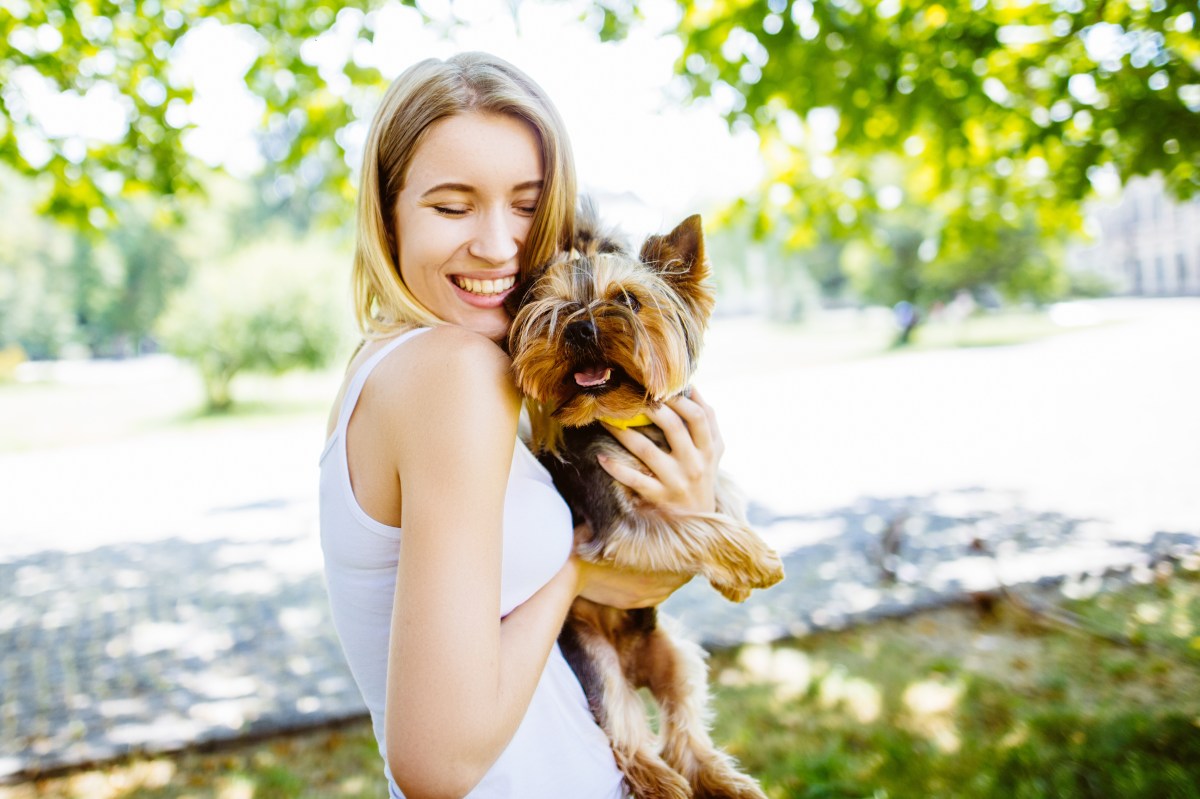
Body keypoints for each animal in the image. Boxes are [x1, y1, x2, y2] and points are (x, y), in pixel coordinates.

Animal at [506, 206, 787, 796]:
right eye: (559, 309)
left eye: (629, 301)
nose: (581, 326)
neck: (630, 415)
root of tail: (635, 665)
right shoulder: (619, 527)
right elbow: (695, 526)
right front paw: (758, 561)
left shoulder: (706, 461)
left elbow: (723, 496)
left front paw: (737, 575)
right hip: (594, 659)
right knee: (626, 734)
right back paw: (662, 782)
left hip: (676, 652)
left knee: (683, 725)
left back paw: (722, 781)